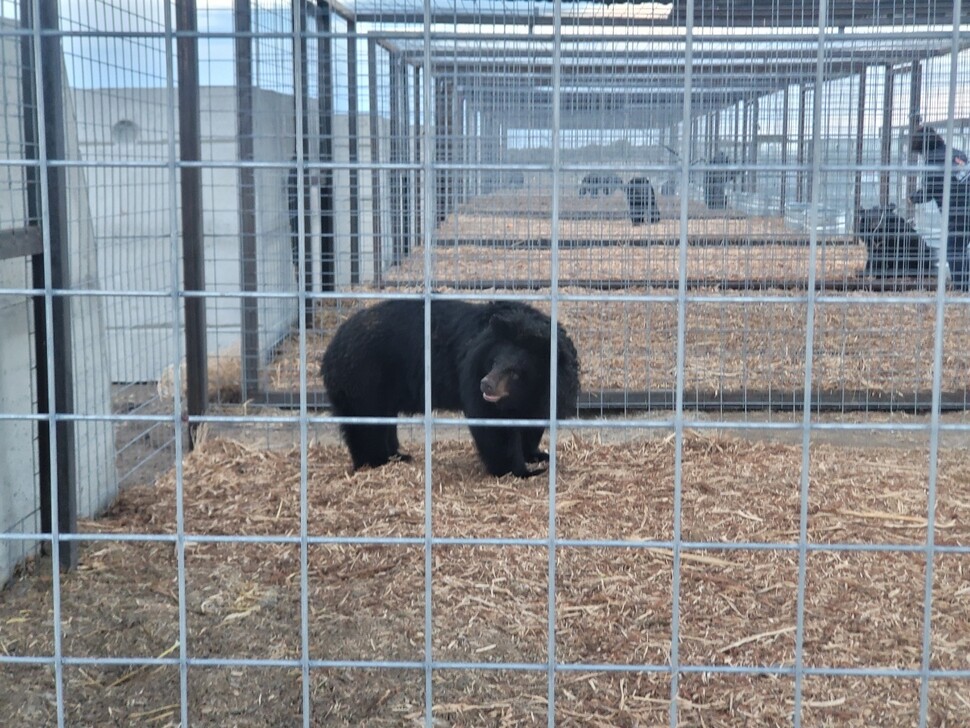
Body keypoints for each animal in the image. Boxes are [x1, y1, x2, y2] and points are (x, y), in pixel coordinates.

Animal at [318, 300, 580, 478]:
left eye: (515, 372)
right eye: (494, 362)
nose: (487, 383)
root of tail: (331, 348)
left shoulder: (545, 394)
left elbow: (532, 422)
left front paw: (538, 455)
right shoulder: (473, 373)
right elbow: (494, 428)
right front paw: (522, 471)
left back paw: (398, 455)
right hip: (364, 381)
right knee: (366, 425)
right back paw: (377, 461)